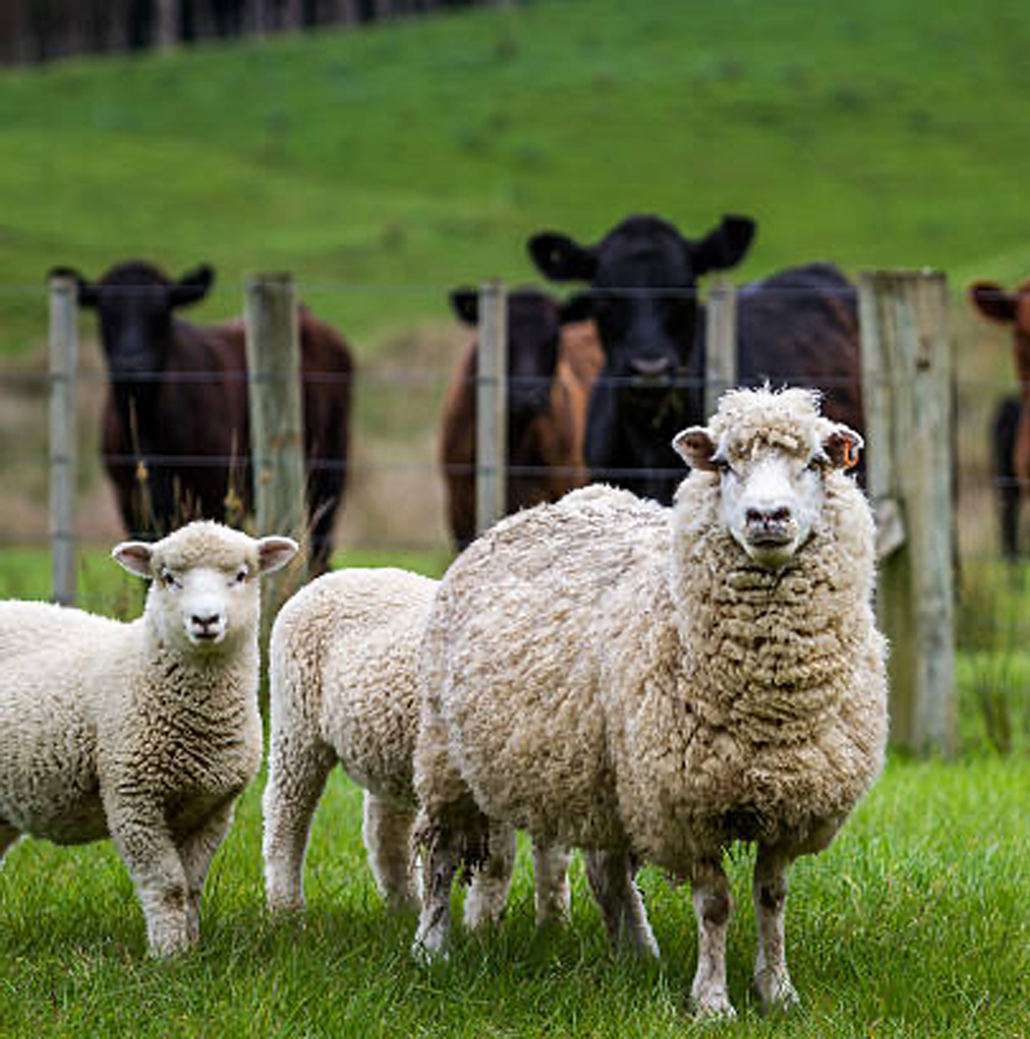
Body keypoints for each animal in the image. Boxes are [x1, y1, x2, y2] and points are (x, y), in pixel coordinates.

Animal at [0, 521, 297, 957]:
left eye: (242, 575)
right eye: (168, 577)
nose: (205, 619)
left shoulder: (213, 807)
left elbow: (191, 886)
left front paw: (190, 950)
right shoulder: (133, 798)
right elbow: (167, 886)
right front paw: (168, 957)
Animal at [262, 566, 571, 927]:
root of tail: (331, 578)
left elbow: (553, 864)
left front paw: (554, 926)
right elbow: (498, 861)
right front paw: (483, 927)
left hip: (388, 750)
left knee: (385, 834)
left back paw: (405, 909)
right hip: (295, 725)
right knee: (287, 814)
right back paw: (286, 911)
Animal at [412, 386, 888, 1019]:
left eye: (814, 463)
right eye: (725, 465)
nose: (767, 517)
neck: (768, 706)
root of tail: (538, 508)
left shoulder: (789, 803)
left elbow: (772, 898)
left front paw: (778, 992)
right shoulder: (686, 805)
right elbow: (715, 905)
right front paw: (713, 1002)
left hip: (607, 774)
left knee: (608, 868)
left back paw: (637, 953)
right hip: (447, 755)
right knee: (441, 853)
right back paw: (430, 947)